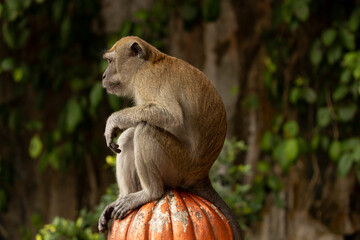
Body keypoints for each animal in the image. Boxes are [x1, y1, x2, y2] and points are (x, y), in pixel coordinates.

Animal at [98, 36, 243, 240]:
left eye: (110, 62)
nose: (103, 76)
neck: (148, 62)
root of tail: (201, 174)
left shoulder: (147, 79)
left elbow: (170, 115)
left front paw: (113, 120)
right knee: (129, 136)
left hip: (178, 166)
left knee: (145, 129)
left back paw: (150, 193)